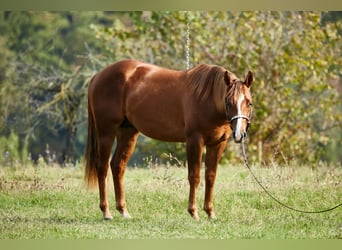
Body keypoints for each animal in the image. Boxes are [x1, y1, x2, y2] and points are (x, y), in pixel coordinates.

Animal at [84, 59, 252, 220]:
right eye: (228, 102)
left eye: (249, 102)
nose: (239, 134)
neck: (207, 99)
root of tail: (98, 76)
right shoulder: (194, 141)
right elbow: (195, 176)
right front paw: (194, 212)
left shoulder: (217, 143)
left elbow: (210, 176)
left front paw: (210, 213)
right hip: (106, 133)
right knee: (102, 168)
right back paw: (106, 212)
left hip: (128, 133)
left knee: (117, 166)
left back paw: (123, 211)